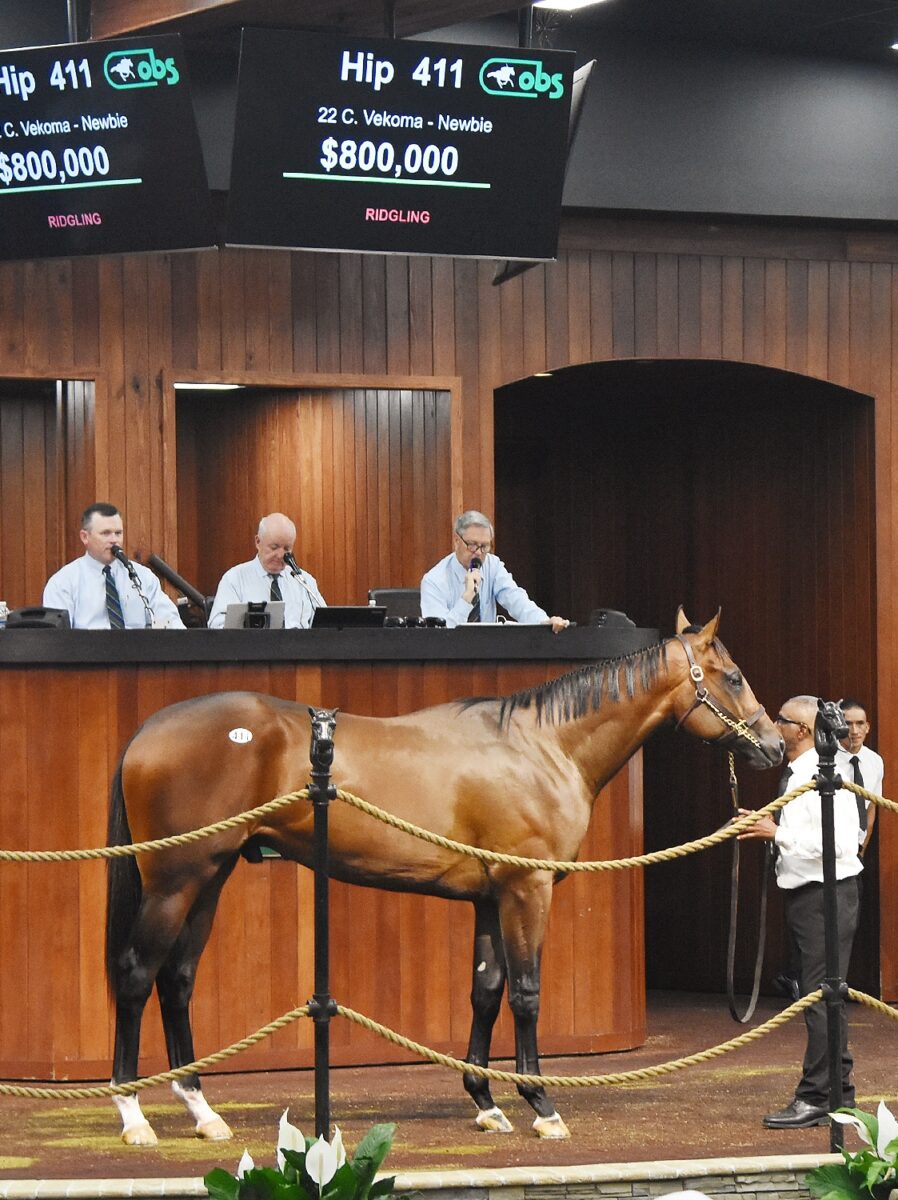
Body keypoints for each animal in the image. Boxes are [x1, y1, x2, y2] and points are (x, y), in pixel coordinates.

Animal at [103, 609, 777, 1142]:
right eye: (734, 677)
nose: (772, 745)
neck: (542, 746)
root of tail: (146, 730)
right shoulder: (526, 891)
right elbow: (526, 993)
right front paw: (541, 1104)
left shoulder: (489, 899)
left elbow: (485, 990)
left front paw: (486, 1102)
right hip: (175, 883)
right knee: (137, 976)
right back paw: (132, 1113)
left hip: (209, 879)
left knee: (178, 980)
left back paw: (202, 1111)